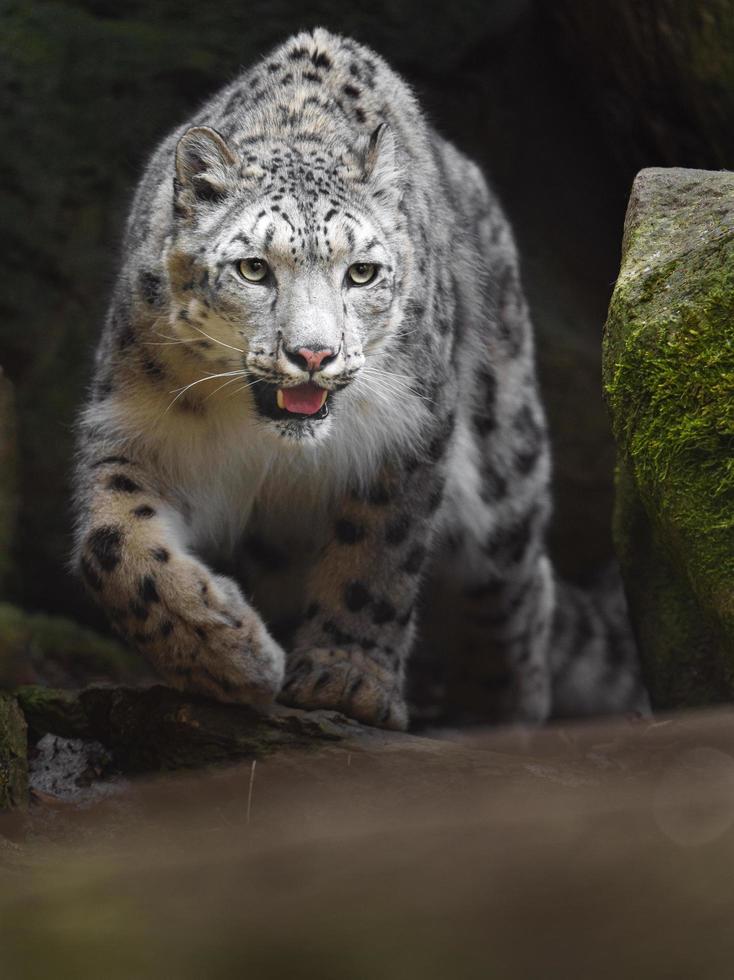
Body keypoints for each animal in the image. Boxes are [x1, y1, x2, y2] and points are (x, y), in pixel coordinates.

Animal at [73, 26, 648, 732]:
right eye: (254, 268)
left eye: (363, 272)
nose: (313, 354)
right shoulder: (141, 424)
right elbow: (114, 543)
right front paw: (227, 652)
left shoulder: (409, 429)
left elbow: (378, 552)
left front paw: (346, 679)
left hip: (506, 465)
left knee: (518, 584)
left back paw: (498, 712)